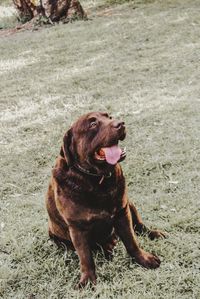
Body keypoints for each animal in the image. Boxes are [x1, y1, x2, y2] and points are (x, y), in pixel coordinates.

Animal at [45, 112, 166, 288]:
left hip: (130, 204)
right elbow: (85, 257)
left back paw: (154, 233)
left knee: (139, 226)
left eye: (108, 117)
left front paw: (143, 259)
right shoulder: (77, 228)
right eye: (92, 124)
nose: (120, 123)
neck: (96, 180)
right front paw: (88, 279)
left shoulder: (122, 213)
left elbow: (132, 241)